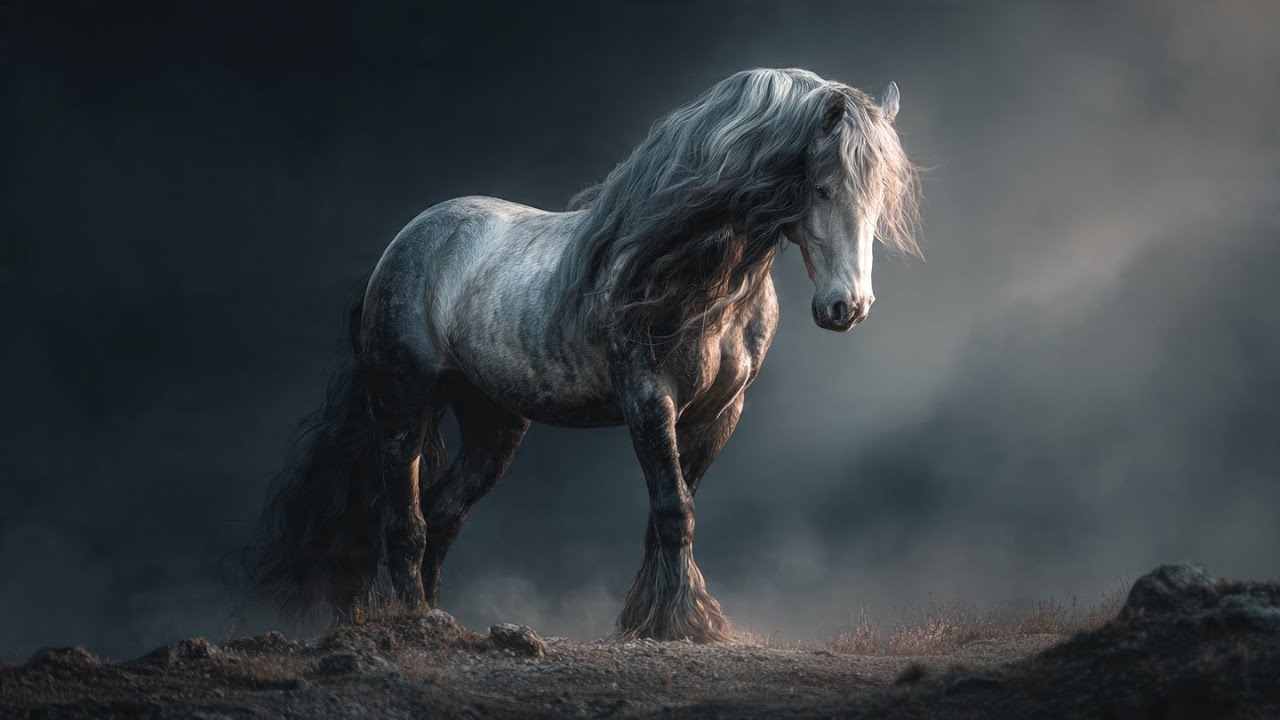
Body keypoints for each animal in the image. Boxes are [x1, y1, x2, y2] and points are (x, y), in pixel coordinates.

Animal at [243, 68, 921, 642]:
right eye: (824, 188)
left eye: (880, 196)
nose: (847, 307)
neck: (697, 279)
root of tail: (402, 244)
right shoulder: (649, 398)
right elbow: (674, 509)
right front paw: (684, 623)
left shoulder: (718, 412)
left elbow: (670, 511)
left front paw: (652, 618)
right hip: (403, 410)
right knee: (403, 521)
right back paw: (415, 621)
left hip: (493, 425)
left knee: (442, 514)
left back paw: (443, 623)